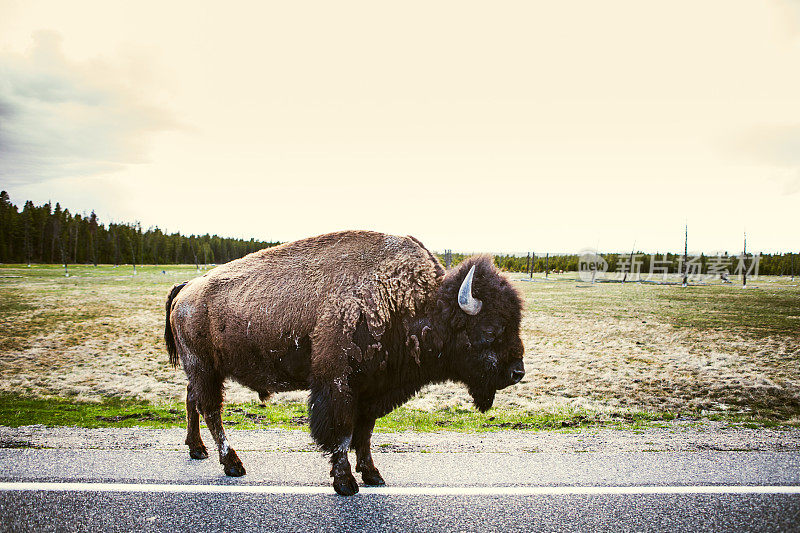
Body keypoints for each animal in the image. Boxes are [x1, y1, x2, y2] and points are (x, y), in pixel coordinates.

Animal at [164, 229, 524, 494]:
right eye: (491, 329)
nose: (517, 372)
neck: (411, 302)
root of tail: (187, 288)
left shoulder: (374, 389)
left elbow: (364, 433)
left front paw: (373, 475)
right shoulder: (338, 385)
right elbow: (341, 433)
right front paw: (346, 483)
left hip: (201, 370)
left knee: (192, 400)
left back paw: (197, 450)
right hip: (205, 367)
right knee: (211, 410)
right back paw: (233, 464)